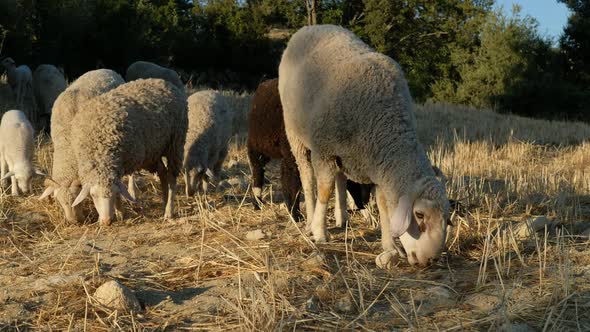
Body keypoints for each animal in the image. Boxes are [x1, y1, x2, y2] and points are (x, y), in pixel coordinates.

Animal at [69, 78, 190, 224]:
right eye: (92, 195)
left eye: (114, 193)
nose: (106, 221)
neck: (100, 151)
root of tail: (163, 82)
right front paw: (119, 213)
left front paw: (120, 212)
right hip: (153, 151)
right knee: (162, 172)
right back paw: (164, 201)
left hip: (175, 143)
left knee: (171, 177)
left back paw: (169, 211)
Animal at [247, 79, 372, 222]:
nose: (364, 206)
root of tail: (265, 83)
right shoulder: (292, 154)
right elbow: (292, 183)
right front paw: (295, 215)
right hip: (256, 146)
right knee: (257, 170)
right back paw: (257, 202)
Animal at [280, 24, 450, 268]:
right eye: (419, 215)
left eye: (447, 218)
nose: (430, 260)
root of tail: (312, 27)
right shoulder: (324, 151)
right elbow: (324, 190)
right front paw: (320, 232)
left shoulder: (378, 168)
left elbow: (384, 207)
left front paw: (390, 247)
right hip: (295, 133)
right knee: (307, 176)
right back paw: (311, 219)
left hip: (343, 154)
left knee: (340, 179)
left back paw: (342, 217)